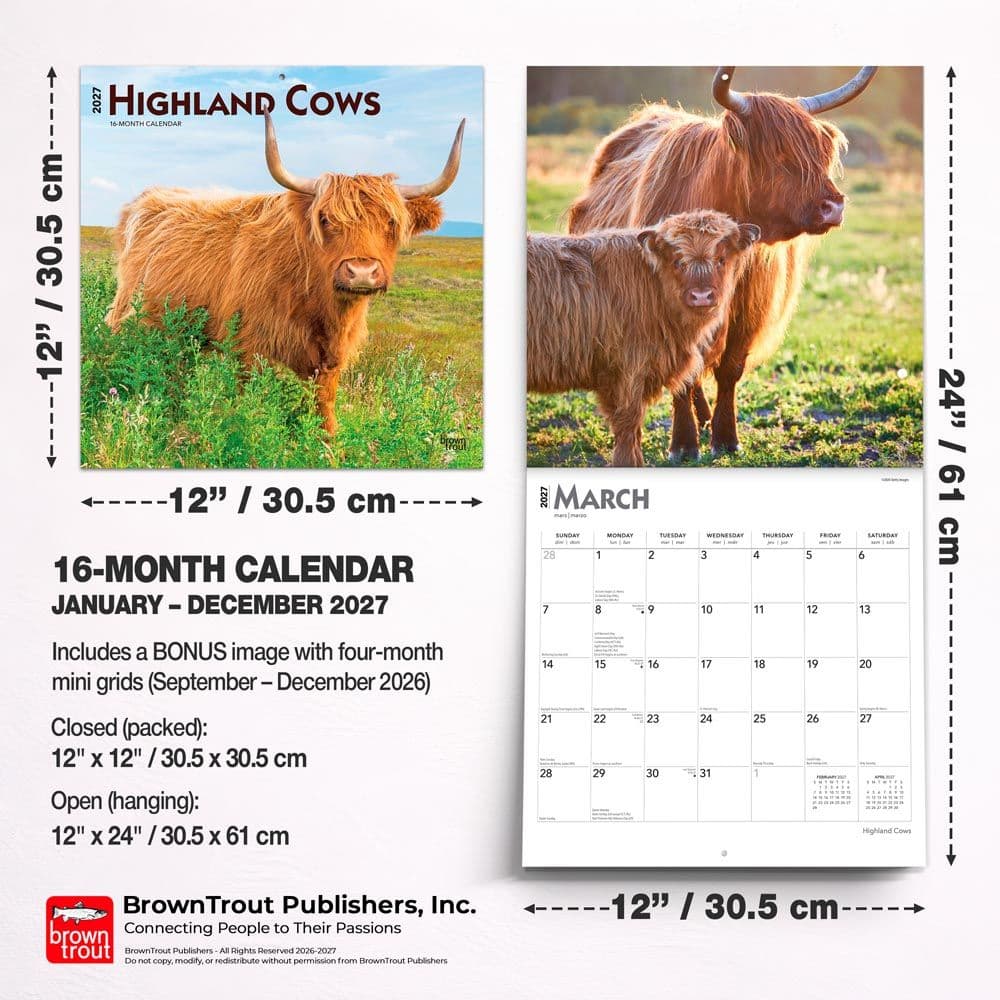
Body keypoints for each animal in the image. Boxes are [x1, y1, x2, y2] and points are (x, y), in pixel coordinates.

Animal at [106, 112, 465, 438]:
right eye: (326, 219)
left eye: (391, 222)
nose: (361, 271)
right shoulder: (249, 347)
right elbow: (252, 405)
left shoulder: (329, 361)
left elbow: (323, 410)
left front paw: (327, 447)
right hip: (132, 318)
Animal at [528, 210, 760, 467]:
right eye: (678, 262)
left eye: (721, 259)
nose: (701, 296)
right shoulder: (628, 370)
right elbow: (628, 423)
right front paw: (627, 462)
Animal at [567, 66, 877, 461]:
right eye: (779, 155)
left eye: (821, 152)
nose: (833, 206)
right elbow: (684, 375)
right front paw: (684, 445)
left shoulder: (749, 307)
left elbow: (730, 369)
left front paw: (726, 437)